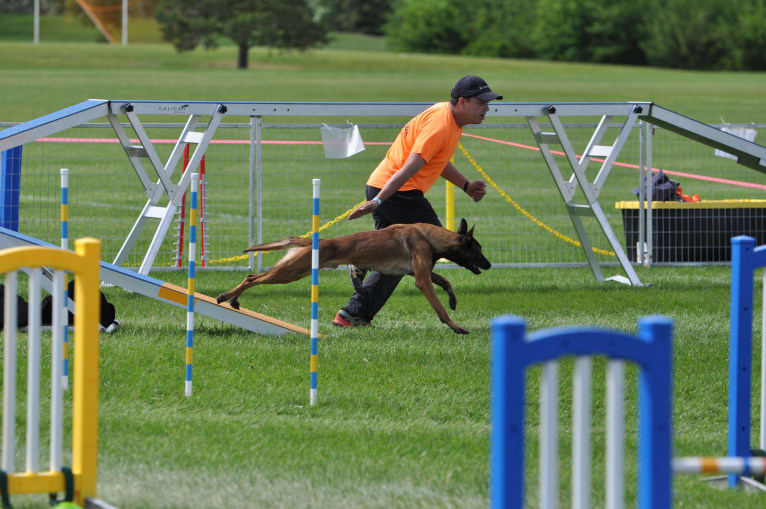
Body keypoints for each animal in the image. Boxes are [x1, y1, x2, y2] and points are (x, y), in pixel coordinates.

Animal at [216, 217, 492, 334]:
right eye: (478, 249)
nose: (489, 264)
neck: (430, 237)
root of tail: (313, 240)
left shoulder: (419, 272)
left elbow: (446, 280)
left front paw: (453, 299)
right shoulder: (421, 279)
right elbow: (439, 309)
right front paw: (456, 327)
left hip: (295, 271)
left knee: (254, 277)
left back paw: (234, 300)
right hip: (291, 272)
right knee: (252, 278)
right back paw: (227, 297)